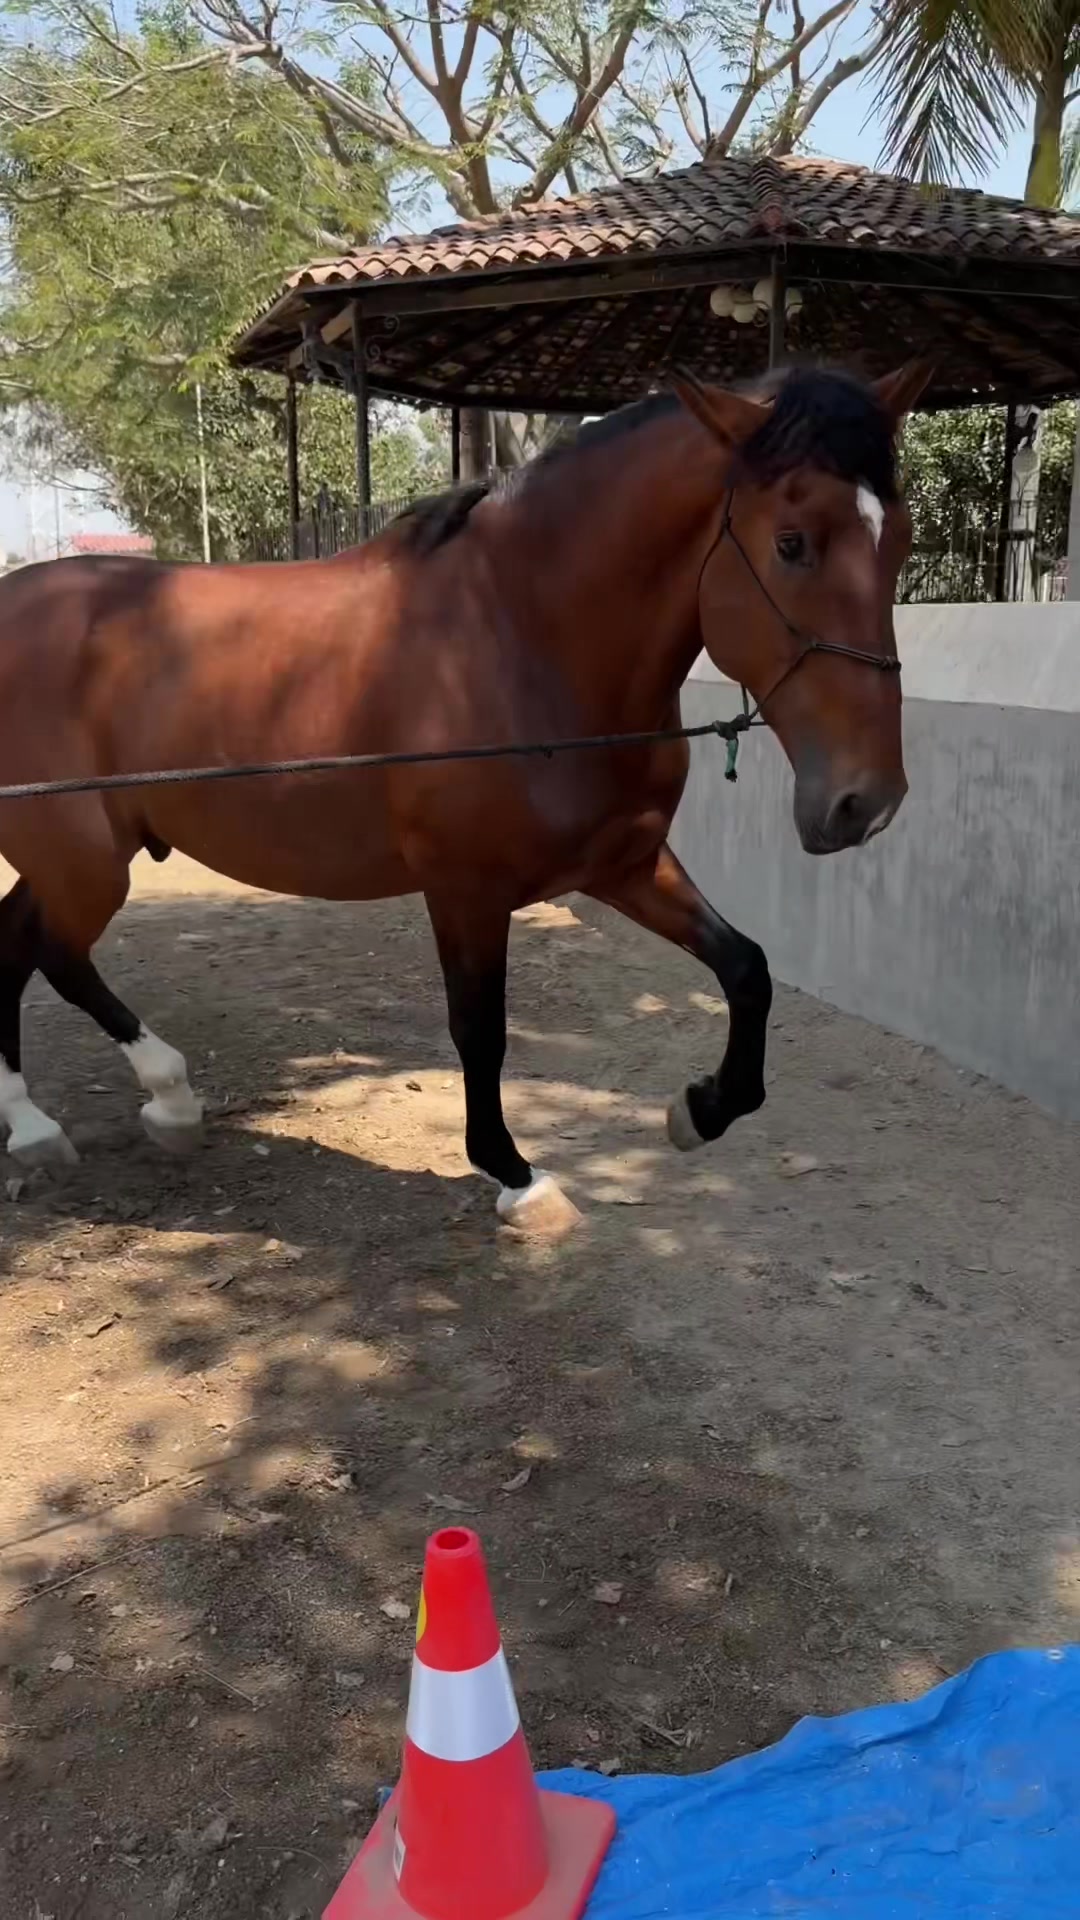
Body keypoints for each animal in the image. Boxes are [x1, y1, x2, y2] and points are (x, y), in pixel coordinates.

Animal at [0, 359, 930, 1227]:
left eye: (902, 543)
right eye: (791, 543)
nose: (867, 802)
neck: (517, 638)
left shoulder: (625, 865)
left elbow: (747, 968)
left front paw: (701, 1108)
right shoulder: (465, 892)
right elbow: (481, 1031)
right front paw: (516, 1175)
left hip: (75, 857)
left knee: (19, 946)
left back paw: (41, 1124)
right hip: (85, 863)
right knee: (54, 953)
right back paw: (160, 1097)